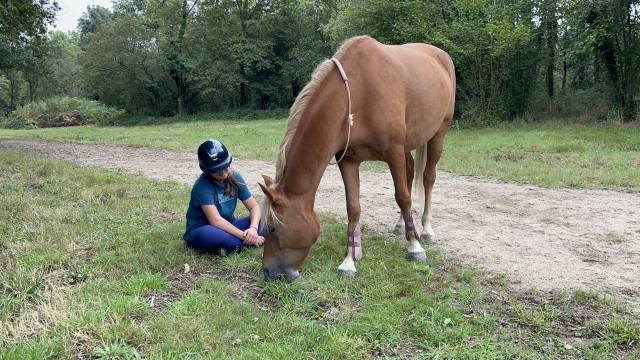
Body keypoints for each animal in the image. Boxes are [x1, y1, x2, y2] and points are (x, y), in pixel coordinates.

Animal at [258, 35, 456, 280]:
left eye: (272, 228)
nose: (269, 272)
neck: (359, 92)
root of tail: (441, 56)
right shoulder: (348, 160)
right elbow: (353, 207)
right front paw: (349, 261)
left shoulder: (393, 153)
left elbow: (402, 196)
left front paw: (415, 247)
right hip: (407, 146)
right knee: (410, 174)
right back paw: (402, 224)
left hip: (438, 134)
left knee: (427, 178)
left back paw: (426, 230)